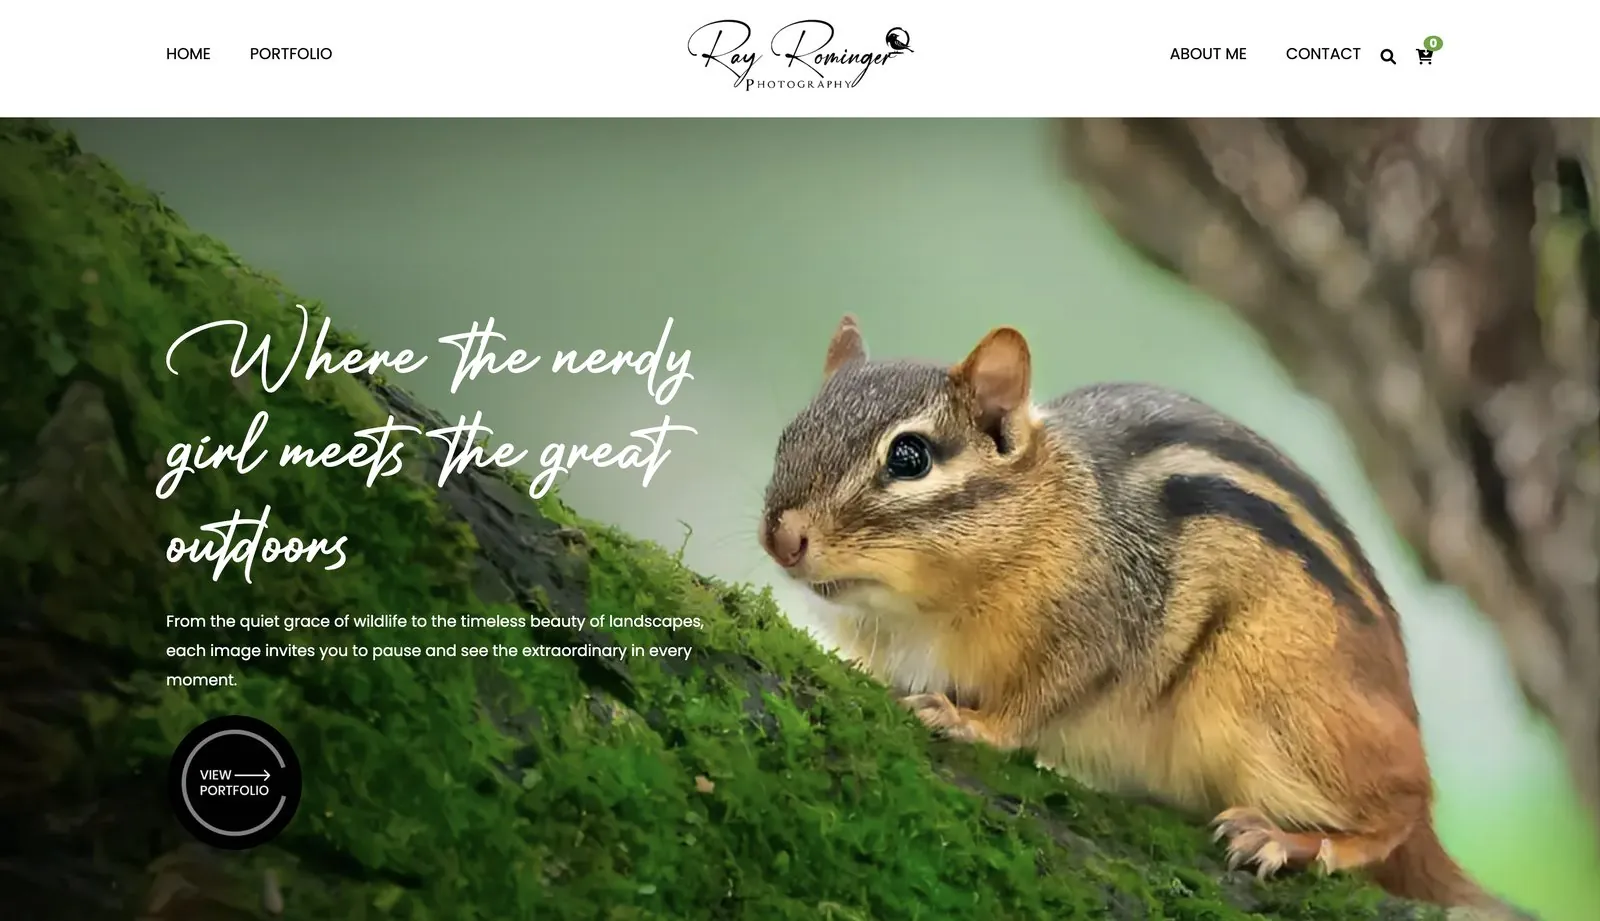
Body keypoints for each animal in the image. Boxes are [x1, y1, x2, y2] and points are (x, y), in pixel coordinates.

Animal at [758, 316, 1531, 917]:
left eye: (910, 457)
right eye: (789, 434)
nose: (781, 538)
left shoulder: (1100, 628)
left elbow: (1042, 696)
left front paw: (971, 722)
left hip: (1278, 704)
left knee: (1400, 808)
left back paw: (1300, 841)